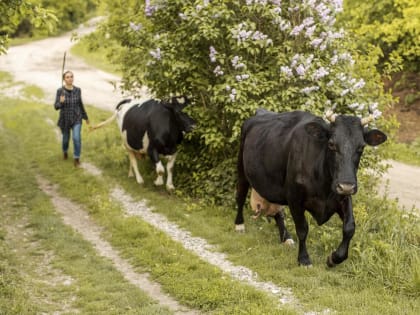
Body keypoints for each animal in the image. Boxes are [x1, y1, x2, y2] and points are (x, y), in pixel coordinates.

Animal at [235, 108, 386, 266]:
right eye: (331, 144)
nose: (346, 186)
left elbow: (350, 228)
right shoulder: (294, 198)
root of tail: (261, 112)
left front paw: (334, 258)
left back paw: (286, 238)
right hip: (242, 169)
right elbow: (302, 229)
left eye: (361, 147)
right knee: (240, 196)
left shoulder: (342, 197)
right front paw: (304, 259)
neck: (324, 187)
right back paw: (239, 225)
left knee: (278, 210)